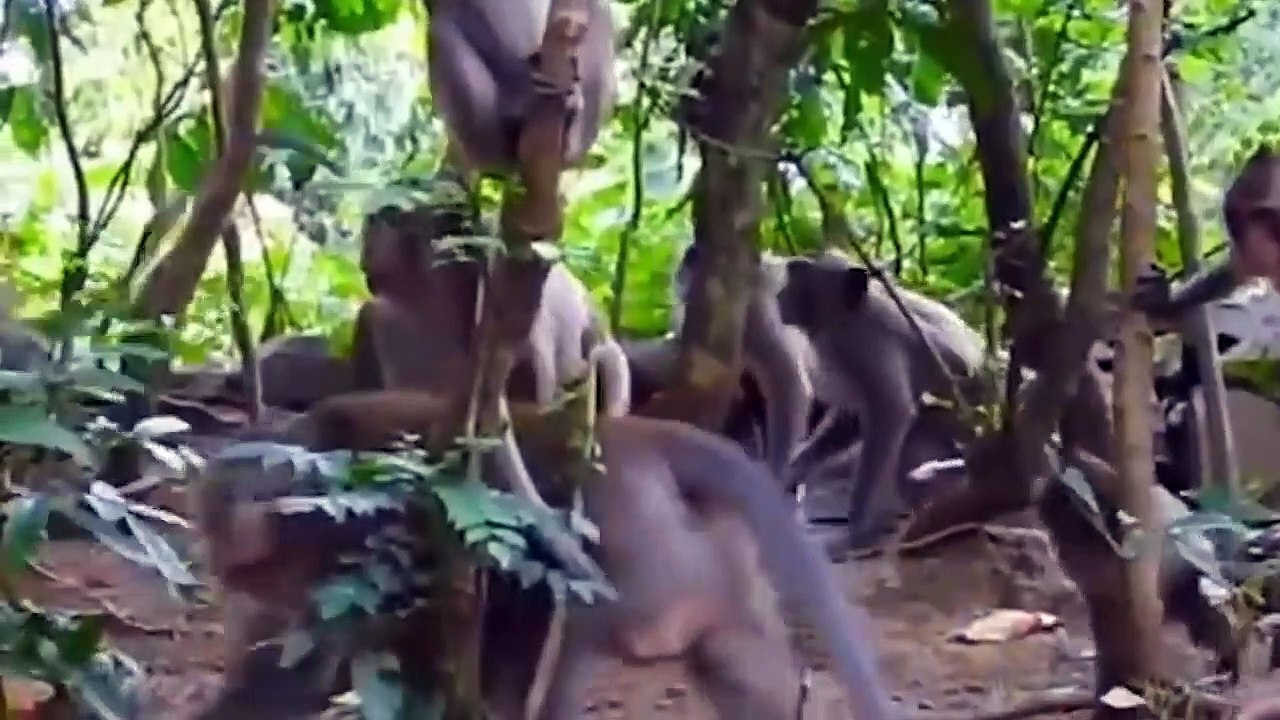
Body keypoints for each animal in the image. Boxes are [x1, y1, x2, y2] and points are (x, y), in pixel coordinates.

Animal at [191, 390, 897, 720]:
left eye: (249, 484)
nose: (229, 535)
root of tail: (637, 435)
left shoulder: (351, 536)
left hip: (630, 535)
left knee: (580, 617)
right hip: (698, 550)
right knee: (730, 654)